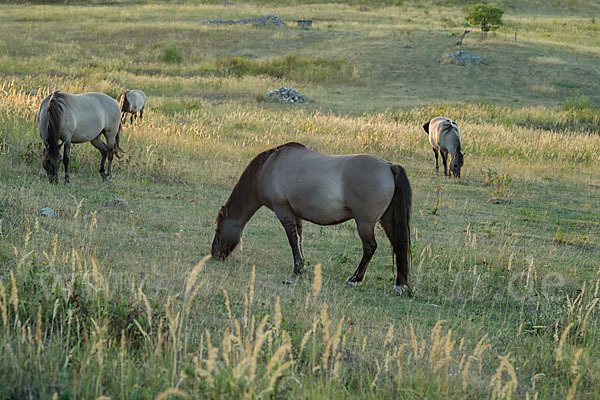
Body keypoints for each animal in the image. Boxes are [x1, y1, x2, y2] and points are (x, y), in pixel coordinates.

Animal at [211, 142, 412, 296]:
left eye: (218, 230)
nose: (214, 254)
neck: (269, 168)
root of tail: (389, 166)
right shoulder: (296, 214)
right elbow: (299, 239)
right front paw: (301, 268)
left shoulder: (283, 211)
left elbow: (292, 240)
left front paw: (295, 271)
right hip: (387, 219)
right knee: (398, 246)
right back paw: (399, 285)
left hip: (365, 223)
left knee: (370, 247)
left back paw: (355, 279)